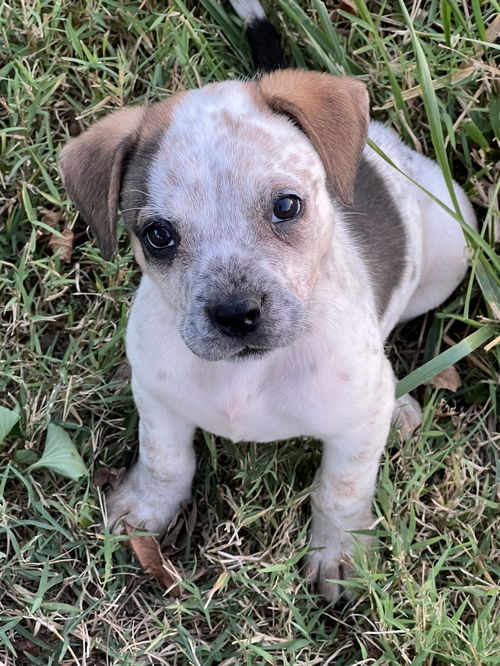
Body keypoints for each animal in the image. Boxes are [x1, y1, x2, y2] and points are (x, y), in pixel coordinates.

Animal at [59, 1, 476, 600]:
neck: (249, 374)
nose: (237, 316)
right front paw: (147, 507)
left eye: (286, 206)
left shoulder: (351, 437)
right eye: (158, 236)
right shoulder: (159, 401)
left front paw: (338, 552)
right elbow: (165, 460)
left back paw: (398, 406)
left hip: (452, 248)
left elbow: (341, 488)